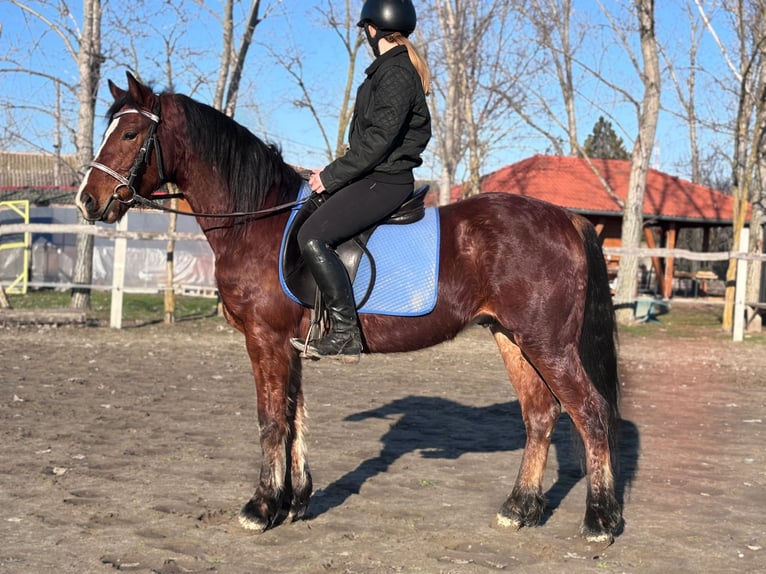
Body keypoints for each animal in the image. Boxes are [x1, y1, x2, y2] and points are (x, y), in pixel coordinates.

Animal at [76, 72, 622, 543]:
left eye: (129, 133)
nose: (87, 201)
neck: (256, 220)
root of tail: (567, 218)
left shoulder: (264, 339)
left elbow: (270, 419)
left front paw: (259, 507)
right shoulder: (289, 345)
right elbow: (294, 416)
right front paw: (293, 502)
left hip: (548, 343)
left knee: (591, 413)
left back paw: (599, 520)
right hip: (512, 338)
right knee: (541, 415)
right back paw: (520, 508)